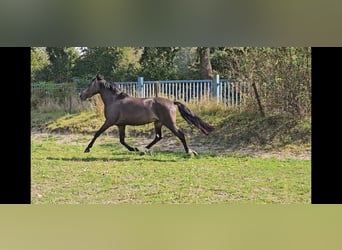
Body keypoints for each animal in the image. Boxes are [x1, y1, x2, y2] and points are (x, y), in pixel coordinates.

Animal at [80, 74, 214, 155]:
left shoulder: (109, 122)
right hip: (158, 123)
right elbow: (122, 140)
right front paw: (134, 149)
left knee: (180, 134)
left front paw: (87, 149)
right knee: (158, 137)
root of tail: (172, 102)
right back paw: (143, 150)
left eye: (89, 84)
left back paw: (189, 152)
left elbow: (97, 133)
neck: (114, 100)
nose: (81, 95)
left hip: (169, 122)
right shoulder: (121, 125)